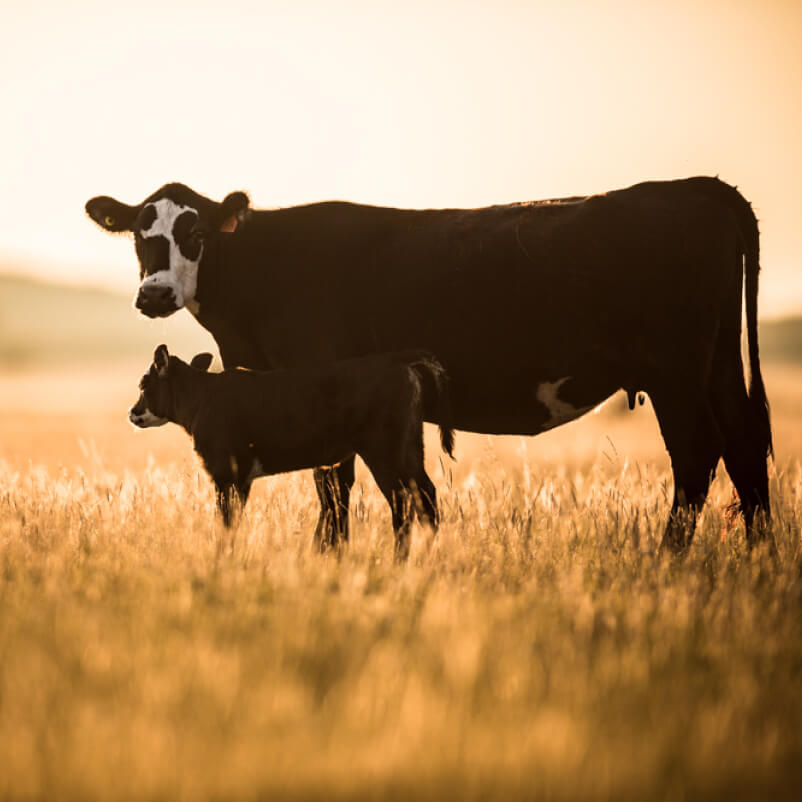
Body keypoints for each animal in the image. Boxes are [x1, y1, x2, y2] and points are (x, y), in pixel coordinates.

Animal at [128, 342, 454, 556]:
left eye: (144, 383)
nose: (133, 412)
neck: (203, 398)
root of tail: (401, 363)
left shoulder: (226, 474)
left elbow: (227, 521)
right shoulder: (239, 478)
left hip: (385, 453)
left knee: (402, 502)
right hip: (411, 450)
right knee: (426, 497)